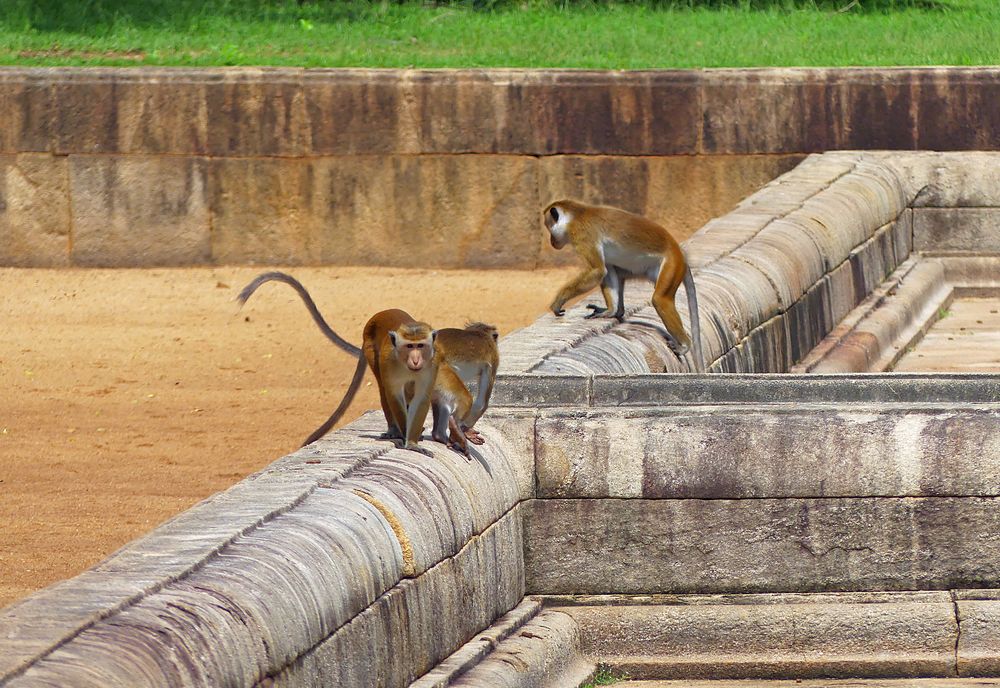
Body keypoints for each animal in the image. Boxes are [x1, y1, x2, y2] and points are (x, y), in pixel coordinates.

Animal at [544, 198, 708, 370]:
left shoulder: (581, 234)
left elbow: (598, 271)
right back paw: (617, 311)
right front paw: (609, 311)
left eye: (549, 228)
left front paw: (558, 301)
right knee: (617, 271)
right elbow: (606, 270)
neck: (576, 214)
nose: (551, 241)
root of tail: (679, 253)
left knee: (660, 300)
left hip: (671, 265)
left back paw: (685, 344)